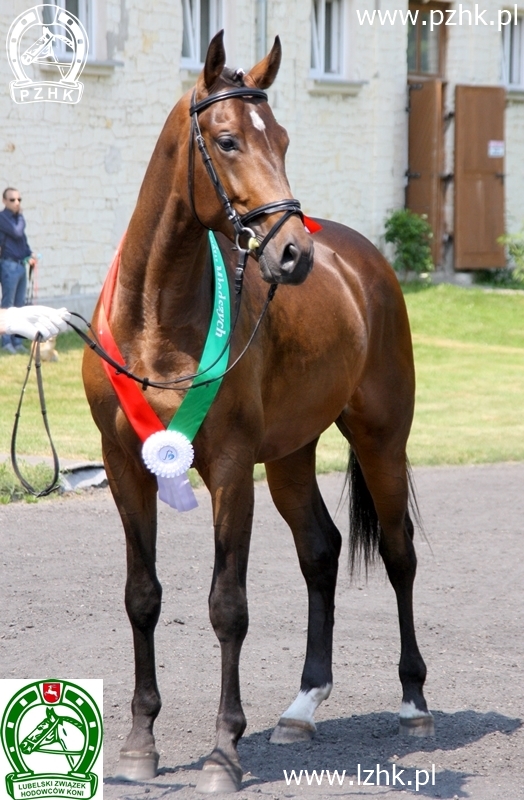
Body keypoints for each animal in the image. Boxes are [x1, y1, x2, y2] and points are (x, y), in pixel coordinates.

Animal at [83, 29, 434, 792]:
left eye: (284, 138)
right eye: (227, 140)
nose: (294, 253)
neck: (156, 318)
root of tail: (366, 264)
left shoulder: (230, 469)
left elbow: (228, 606)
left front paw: (223, 754)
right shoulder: (126, 466)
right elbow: (142, 595)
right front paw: (139, 746)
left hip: (381, 441)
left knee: (399, 556)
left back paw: (414, 703)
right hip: (293, 456)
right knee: (320, 551)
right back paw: (302, 709)